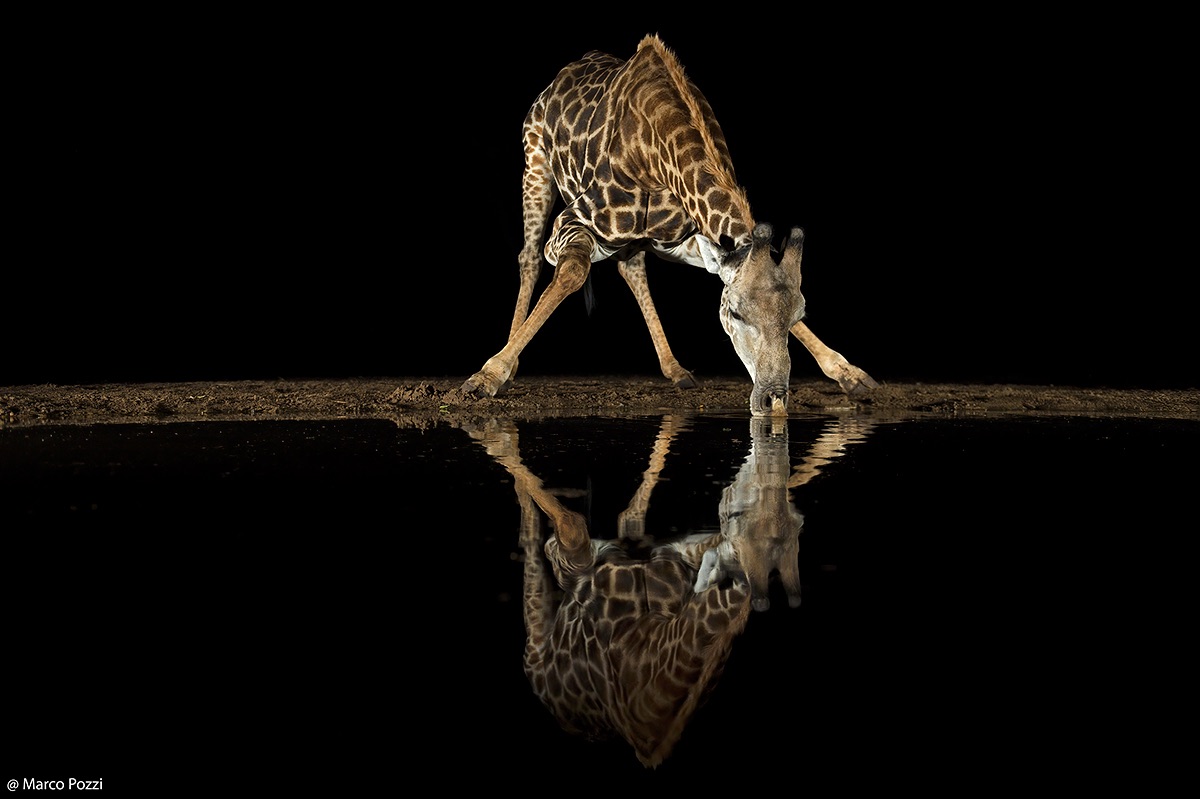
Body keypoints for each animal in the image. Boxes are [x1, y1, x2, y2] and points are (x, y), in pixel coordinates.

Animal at [461, 34, 878, 416]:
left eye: (799, 315)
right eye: (736, 314)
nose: (772, 400)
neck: (655, 153)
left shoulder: (689, 240)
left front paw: (851, 375)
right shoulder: (573, 221)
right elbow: (571, 272)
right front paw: (487, 376)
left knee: (631, 267)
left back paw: (676, 369)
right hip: (536, 167)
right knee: (529, 256)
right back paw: (509, 366)